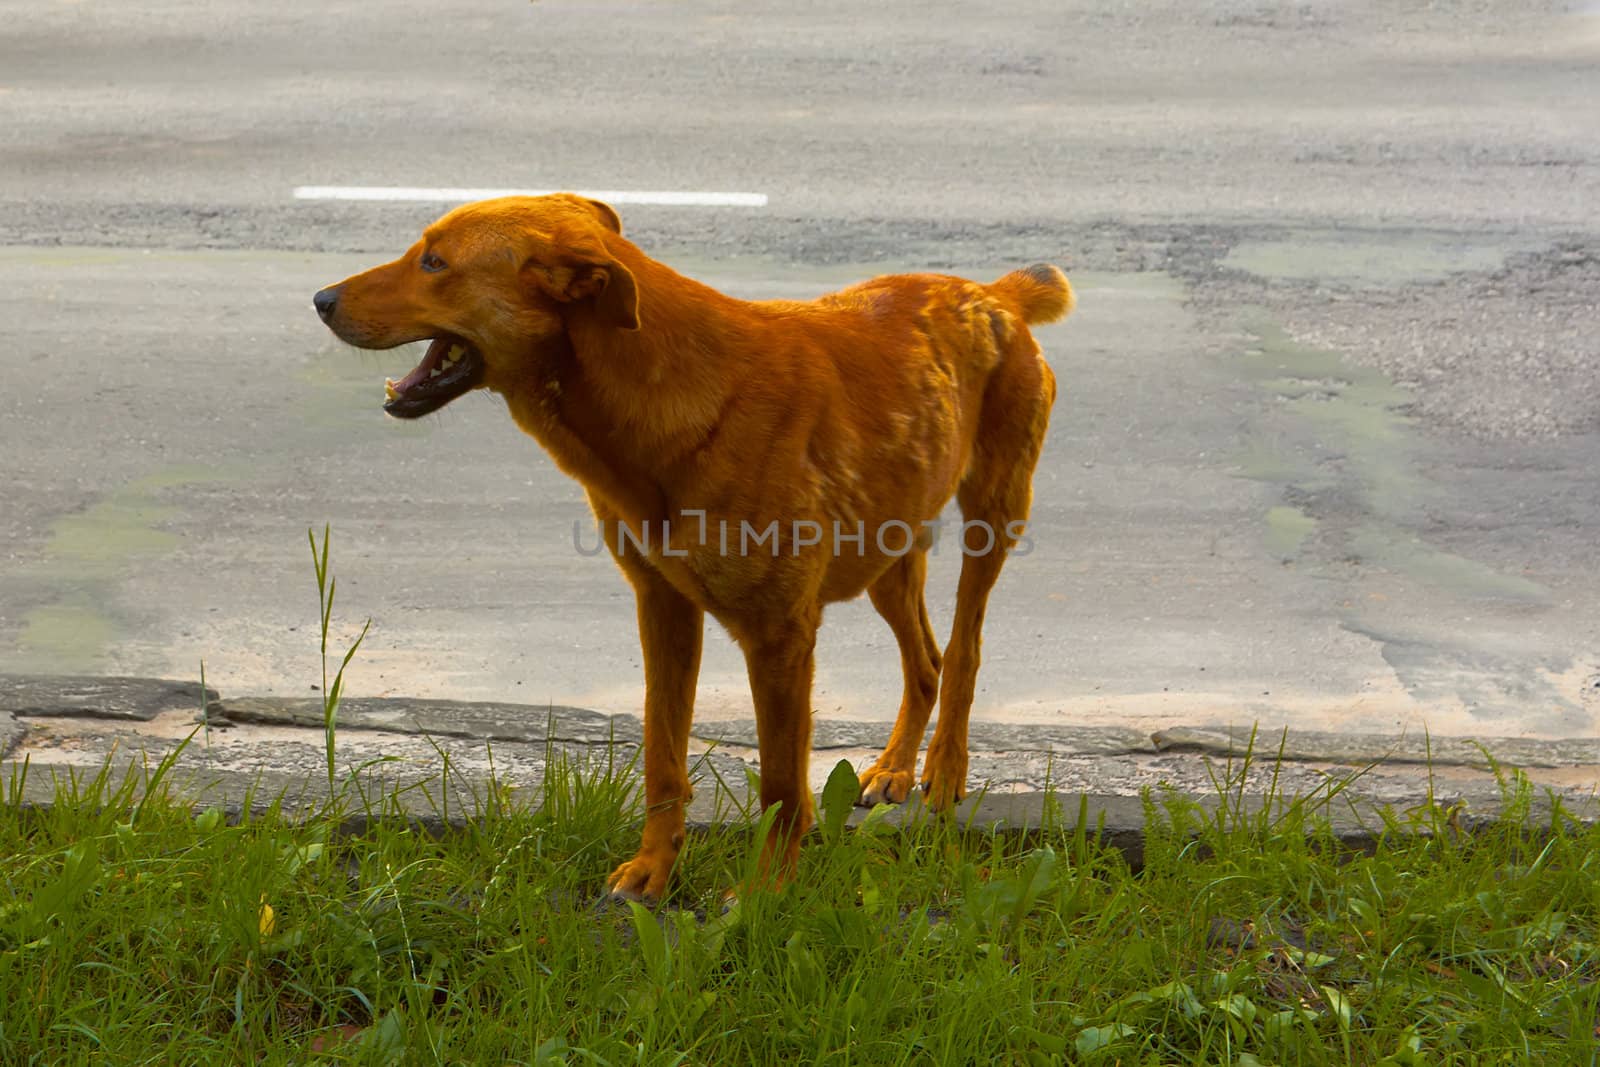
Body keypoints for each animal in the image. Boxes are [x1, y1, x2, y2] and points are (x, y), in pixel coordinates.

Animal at [312, 194, 1068, 902]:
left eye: (434, 262)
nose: (320, 300)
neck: (672, 395)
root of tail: (993, 293)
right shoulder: (663, 605)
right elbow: (663, 756)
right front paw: (655, 869)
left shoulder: (779, 636)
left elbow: (781, 788)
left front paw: (765, 897)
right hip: (886, 549)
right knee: (926, 661)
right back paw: (896, 765)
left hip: (993, 517)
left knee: (964, 650)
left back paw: (944, 767)